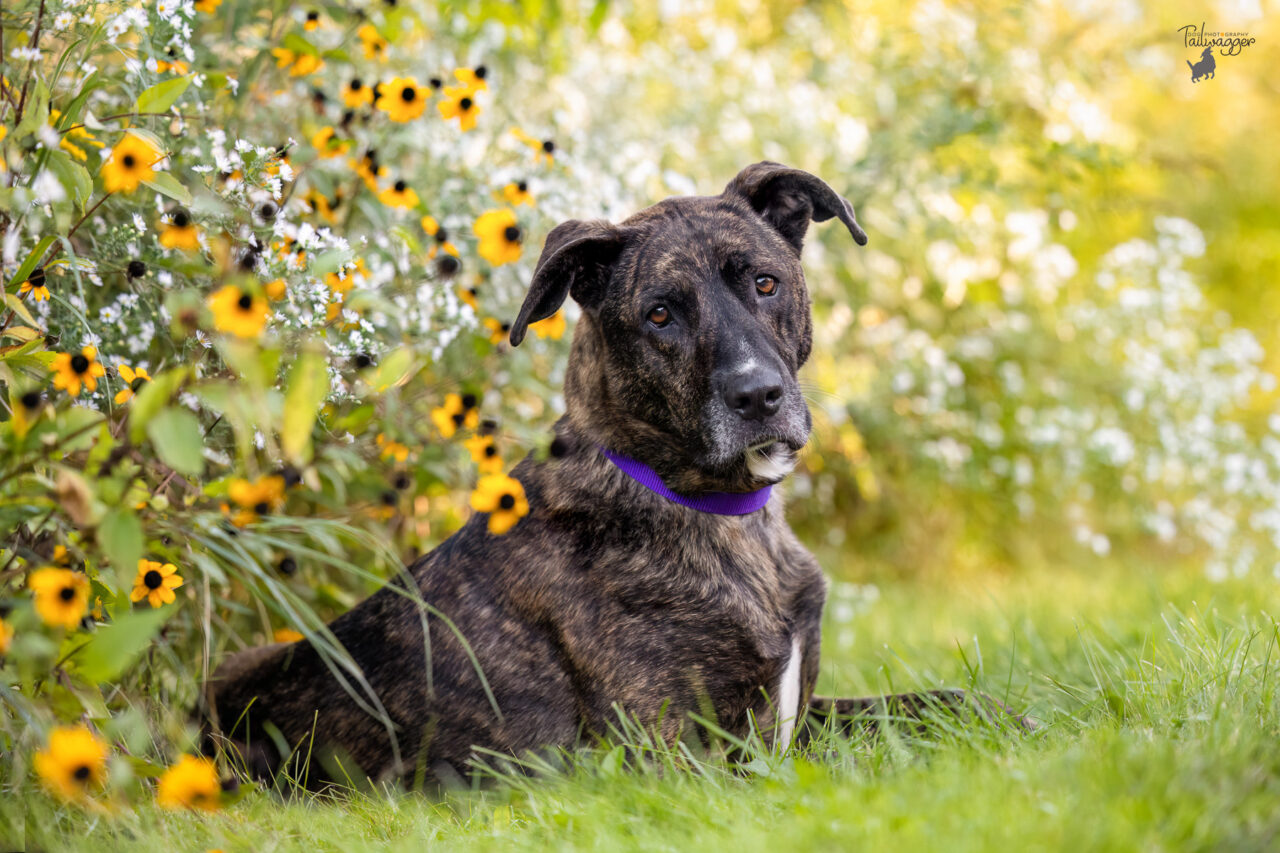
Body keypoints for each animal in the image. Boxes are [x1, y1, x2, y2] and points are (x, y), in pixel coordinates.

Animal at [207, 162, 1029, 788]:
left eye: (765, 284)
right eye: (660, 315)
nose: (757, 396)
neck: (721, 516)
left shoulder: (801, 712)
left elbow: (934, 702)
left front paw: (1021, 721)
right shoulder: (674, 754)